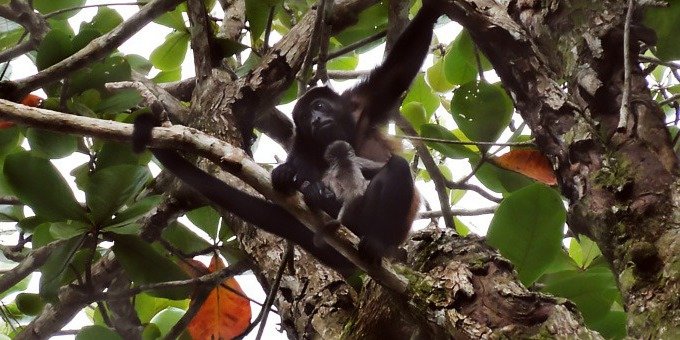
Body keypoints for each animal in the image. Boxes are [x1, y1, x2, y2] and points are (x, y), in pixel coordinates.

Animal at [134, 1, 440, 274]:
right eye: (305, 118)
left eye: (319, 106)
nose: (315, 120)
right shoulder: (302, 143)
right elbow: (301, 167)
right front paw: (288, 176)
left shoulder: (362, 104)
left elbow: (399, 68)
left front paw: (433, 8)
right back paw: (321, 198)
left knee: (396, 167)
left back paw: (374, 242)